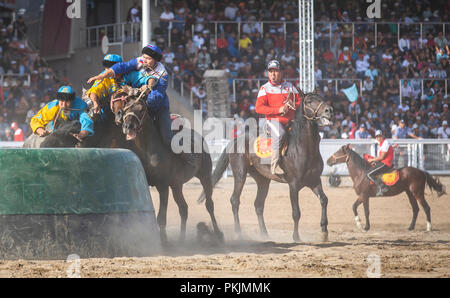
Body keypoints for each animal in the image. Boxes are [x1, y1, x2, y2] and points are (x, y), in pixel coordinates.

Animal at [111, 86, 223, 244]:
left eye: (141, 109)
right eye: (126, 109)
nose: (128, 126)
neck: (149, 149)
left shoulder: (163, 186)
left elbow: (161, 218)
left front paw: (164, 241)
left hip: (205, 176)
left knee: (209, 205)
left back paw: (218, 234)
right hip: (177, 185)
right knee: (183, 208)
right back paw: (181, 239)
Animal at [200, 92, 334, 242]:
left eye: (321, 97)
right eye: (309, 101)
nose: (329, 110)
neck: (303, 148)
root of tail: (236, 140)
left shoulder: (315, 180)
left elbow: (324, 200)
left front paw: (324, 232)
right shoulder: (293, 185)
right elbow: (296, 212)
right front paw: (296, 237)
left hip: (263, 179)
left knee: (258, 205)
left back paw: (264, 234)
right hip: (240, 174)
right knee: (235, 200)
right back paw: (238, 233)